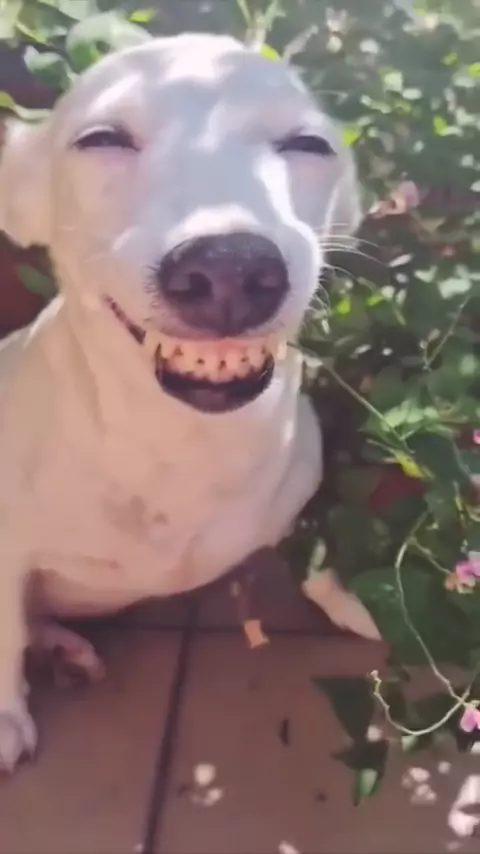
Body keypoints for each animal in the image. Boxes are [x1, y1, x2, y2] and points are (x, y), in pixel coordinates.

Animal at [0, 32, 378, 773]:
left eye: (309, 145)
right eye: (101, 139)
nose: (230, 271)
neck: (180, 446)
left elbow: (314, 547)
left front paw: (346, 595)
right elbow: (1, 632)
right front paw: (6, 716)